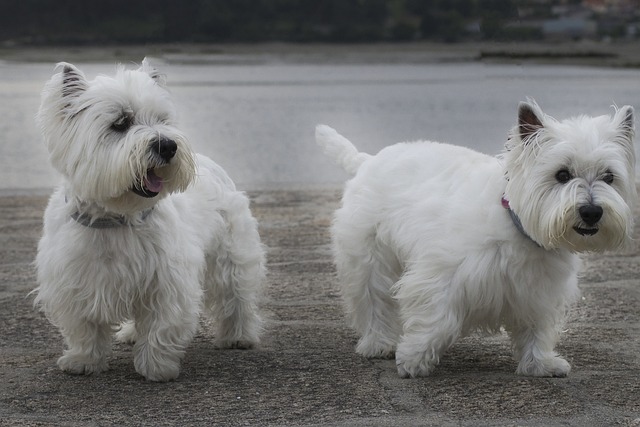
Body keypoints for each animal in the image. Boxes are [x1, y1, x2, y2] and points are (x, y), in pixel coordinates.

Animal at [33, 59, 264, 382]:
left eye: (161, 119)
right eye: (120, 122)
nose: (168, 146)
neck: (115, 217)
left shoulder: (167, 281)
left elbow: (161, 326)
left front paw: (157, 368)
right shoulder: (74, 281)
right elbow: (84, 327)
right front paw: (82, 361)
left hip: (231, 255)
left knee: (236, 296)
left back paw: (238, 337)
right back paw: (130, 334)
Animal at [318, 102, 636, 380]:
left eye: (609, 177)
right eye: (562, 174)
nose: (592, 212)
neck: (515, 224)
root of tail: (367, 161)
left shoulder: (539, 291)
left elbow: (537, 329)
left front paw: (540, 364)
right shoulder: (441, 276)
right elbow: (437, 320)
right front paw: (413, 359)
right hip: (368, 257)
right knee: (373, 300)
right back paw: (378, 344)